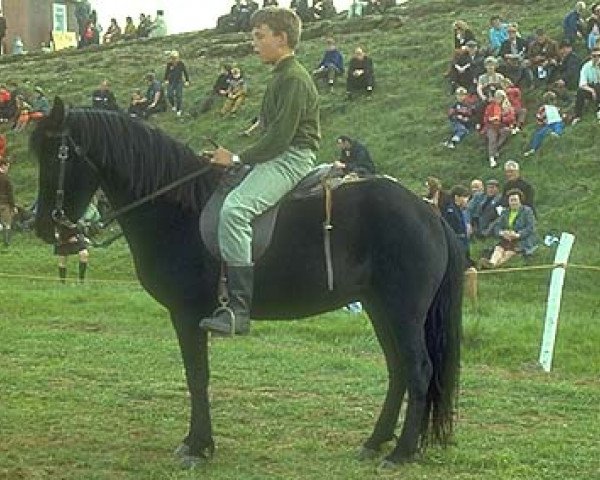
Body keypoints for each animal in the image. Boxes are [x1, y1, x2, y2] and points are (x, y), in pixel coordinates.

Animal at [30, 98, 464, 468]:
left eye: (57, 155)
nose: (43, 227)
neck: (178, 207)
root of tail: (428, 211)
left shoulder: (187, 316)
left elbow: (197, 377)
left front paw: (198, 446)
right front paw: (197, 443)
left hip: (403, 311)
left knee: (418, 370)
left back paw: (402, 452)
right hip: (379, 307)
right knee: (398, 369)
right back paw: (375, 442)